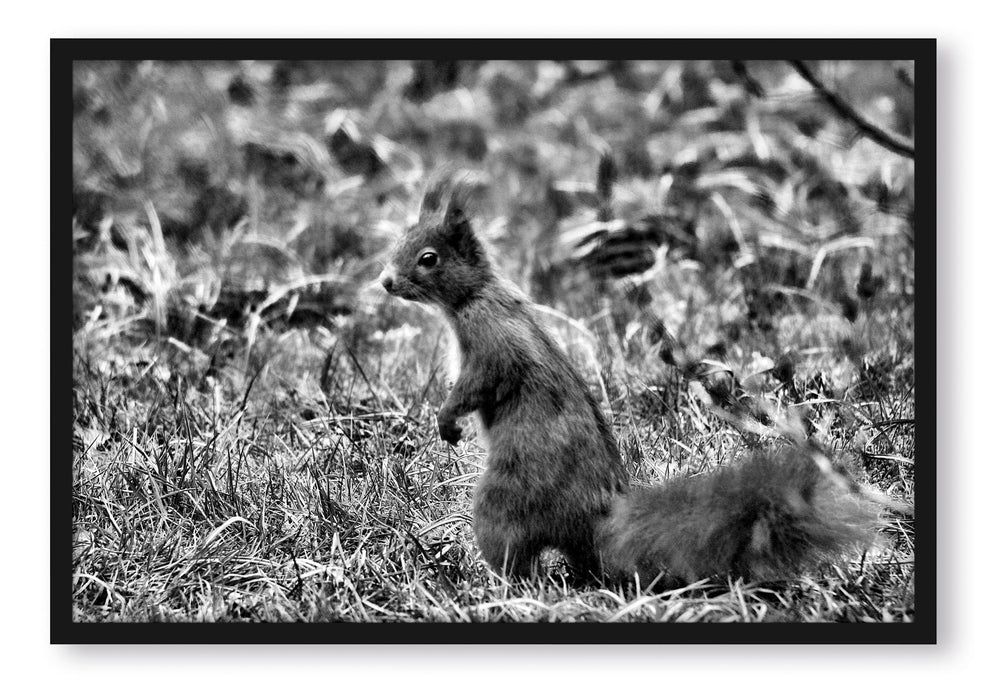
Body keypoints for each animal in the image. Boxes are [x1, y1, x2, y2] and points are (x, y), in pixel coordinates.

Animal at [378, 171, 881, 584]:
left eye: (428, 258)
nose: (385, 281)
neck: (473, 297)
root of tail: (595, 518)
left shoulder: (491, 345)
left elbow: (477, 384)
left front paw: (446, 421)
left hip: (504, 504)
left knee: (516, 557)